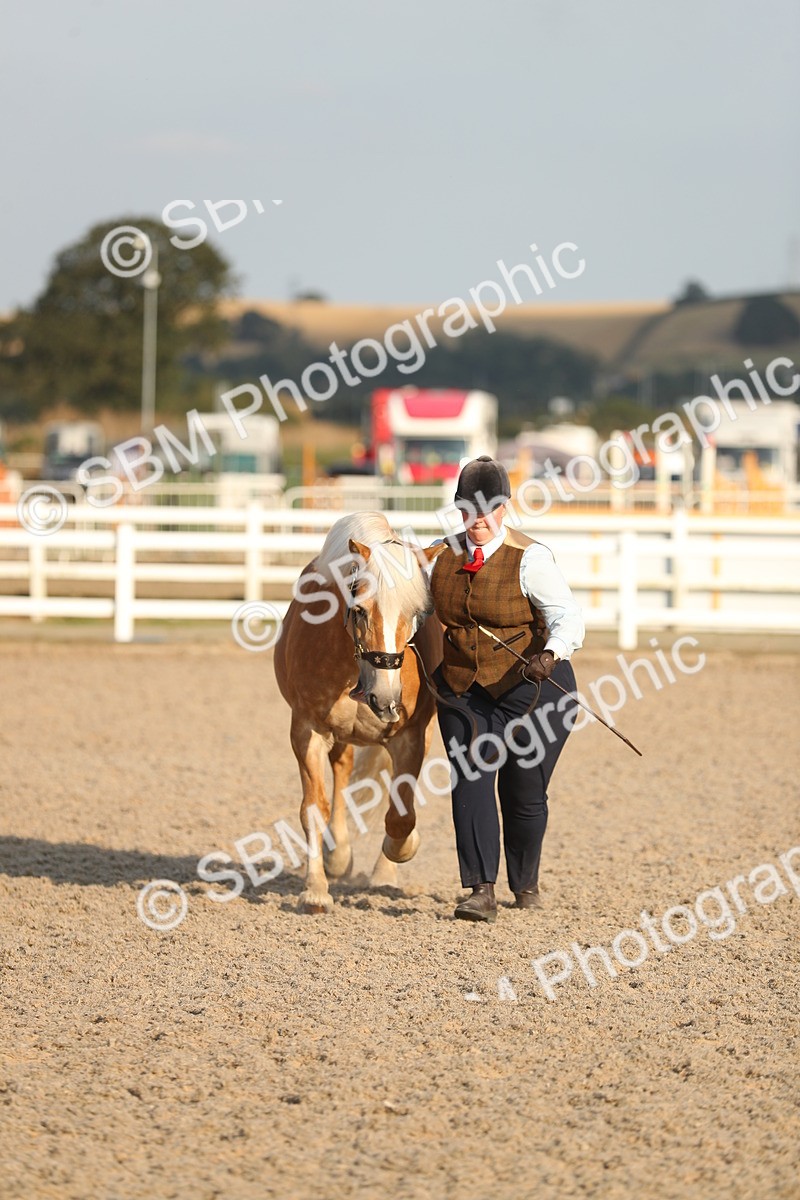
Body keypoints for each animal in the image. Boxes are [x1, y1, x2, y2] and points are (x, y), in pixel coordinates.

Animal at [274, 512, 444, 913]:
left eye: (418, 615)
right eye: (359, 610)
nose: (385, 699)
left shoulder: (411, 737)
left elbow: (401, 815)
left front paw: (400, 851)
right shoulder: (307, 730)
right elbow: (313, 808)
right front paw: (316, 888)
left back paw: (383, 871)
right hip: (339, 736)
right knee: (342, 770)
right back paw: (338, 855)